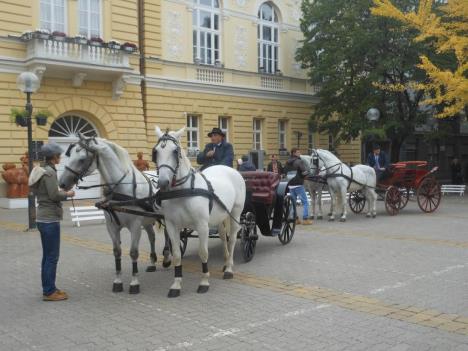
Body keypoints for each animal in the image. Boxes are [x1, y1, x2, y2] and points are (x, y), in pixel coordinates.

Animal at [58, 135, 172, 294]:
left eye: (82, 159)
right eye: (70, 155)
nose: (62, 183)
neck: (121, 188)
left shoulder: (135, 225)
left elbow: (133, 252)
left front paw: (134, 282)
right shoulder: (111, 226)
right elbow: (117, 251)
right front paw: (117, 281)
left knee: (168, 235)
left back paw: (167, 258)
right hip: (147, 220)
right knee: (152, 237)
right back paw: (152, 262)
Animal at [155, 126, 247, 296]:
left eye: (175, 151)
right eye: (156, 151)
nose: (163, 183)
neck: (183, 191)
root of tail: (230, 169)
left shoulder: (202, 225)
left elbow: (203, 253)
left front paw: (204, 282)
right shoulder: (171, 226)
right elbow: (176, 254)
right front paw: (176, 284)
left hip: (236, 213)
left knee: (231, 239)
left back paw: (229, 268)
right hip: (220, 216)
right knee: (223, 236)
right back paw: (225, 262)